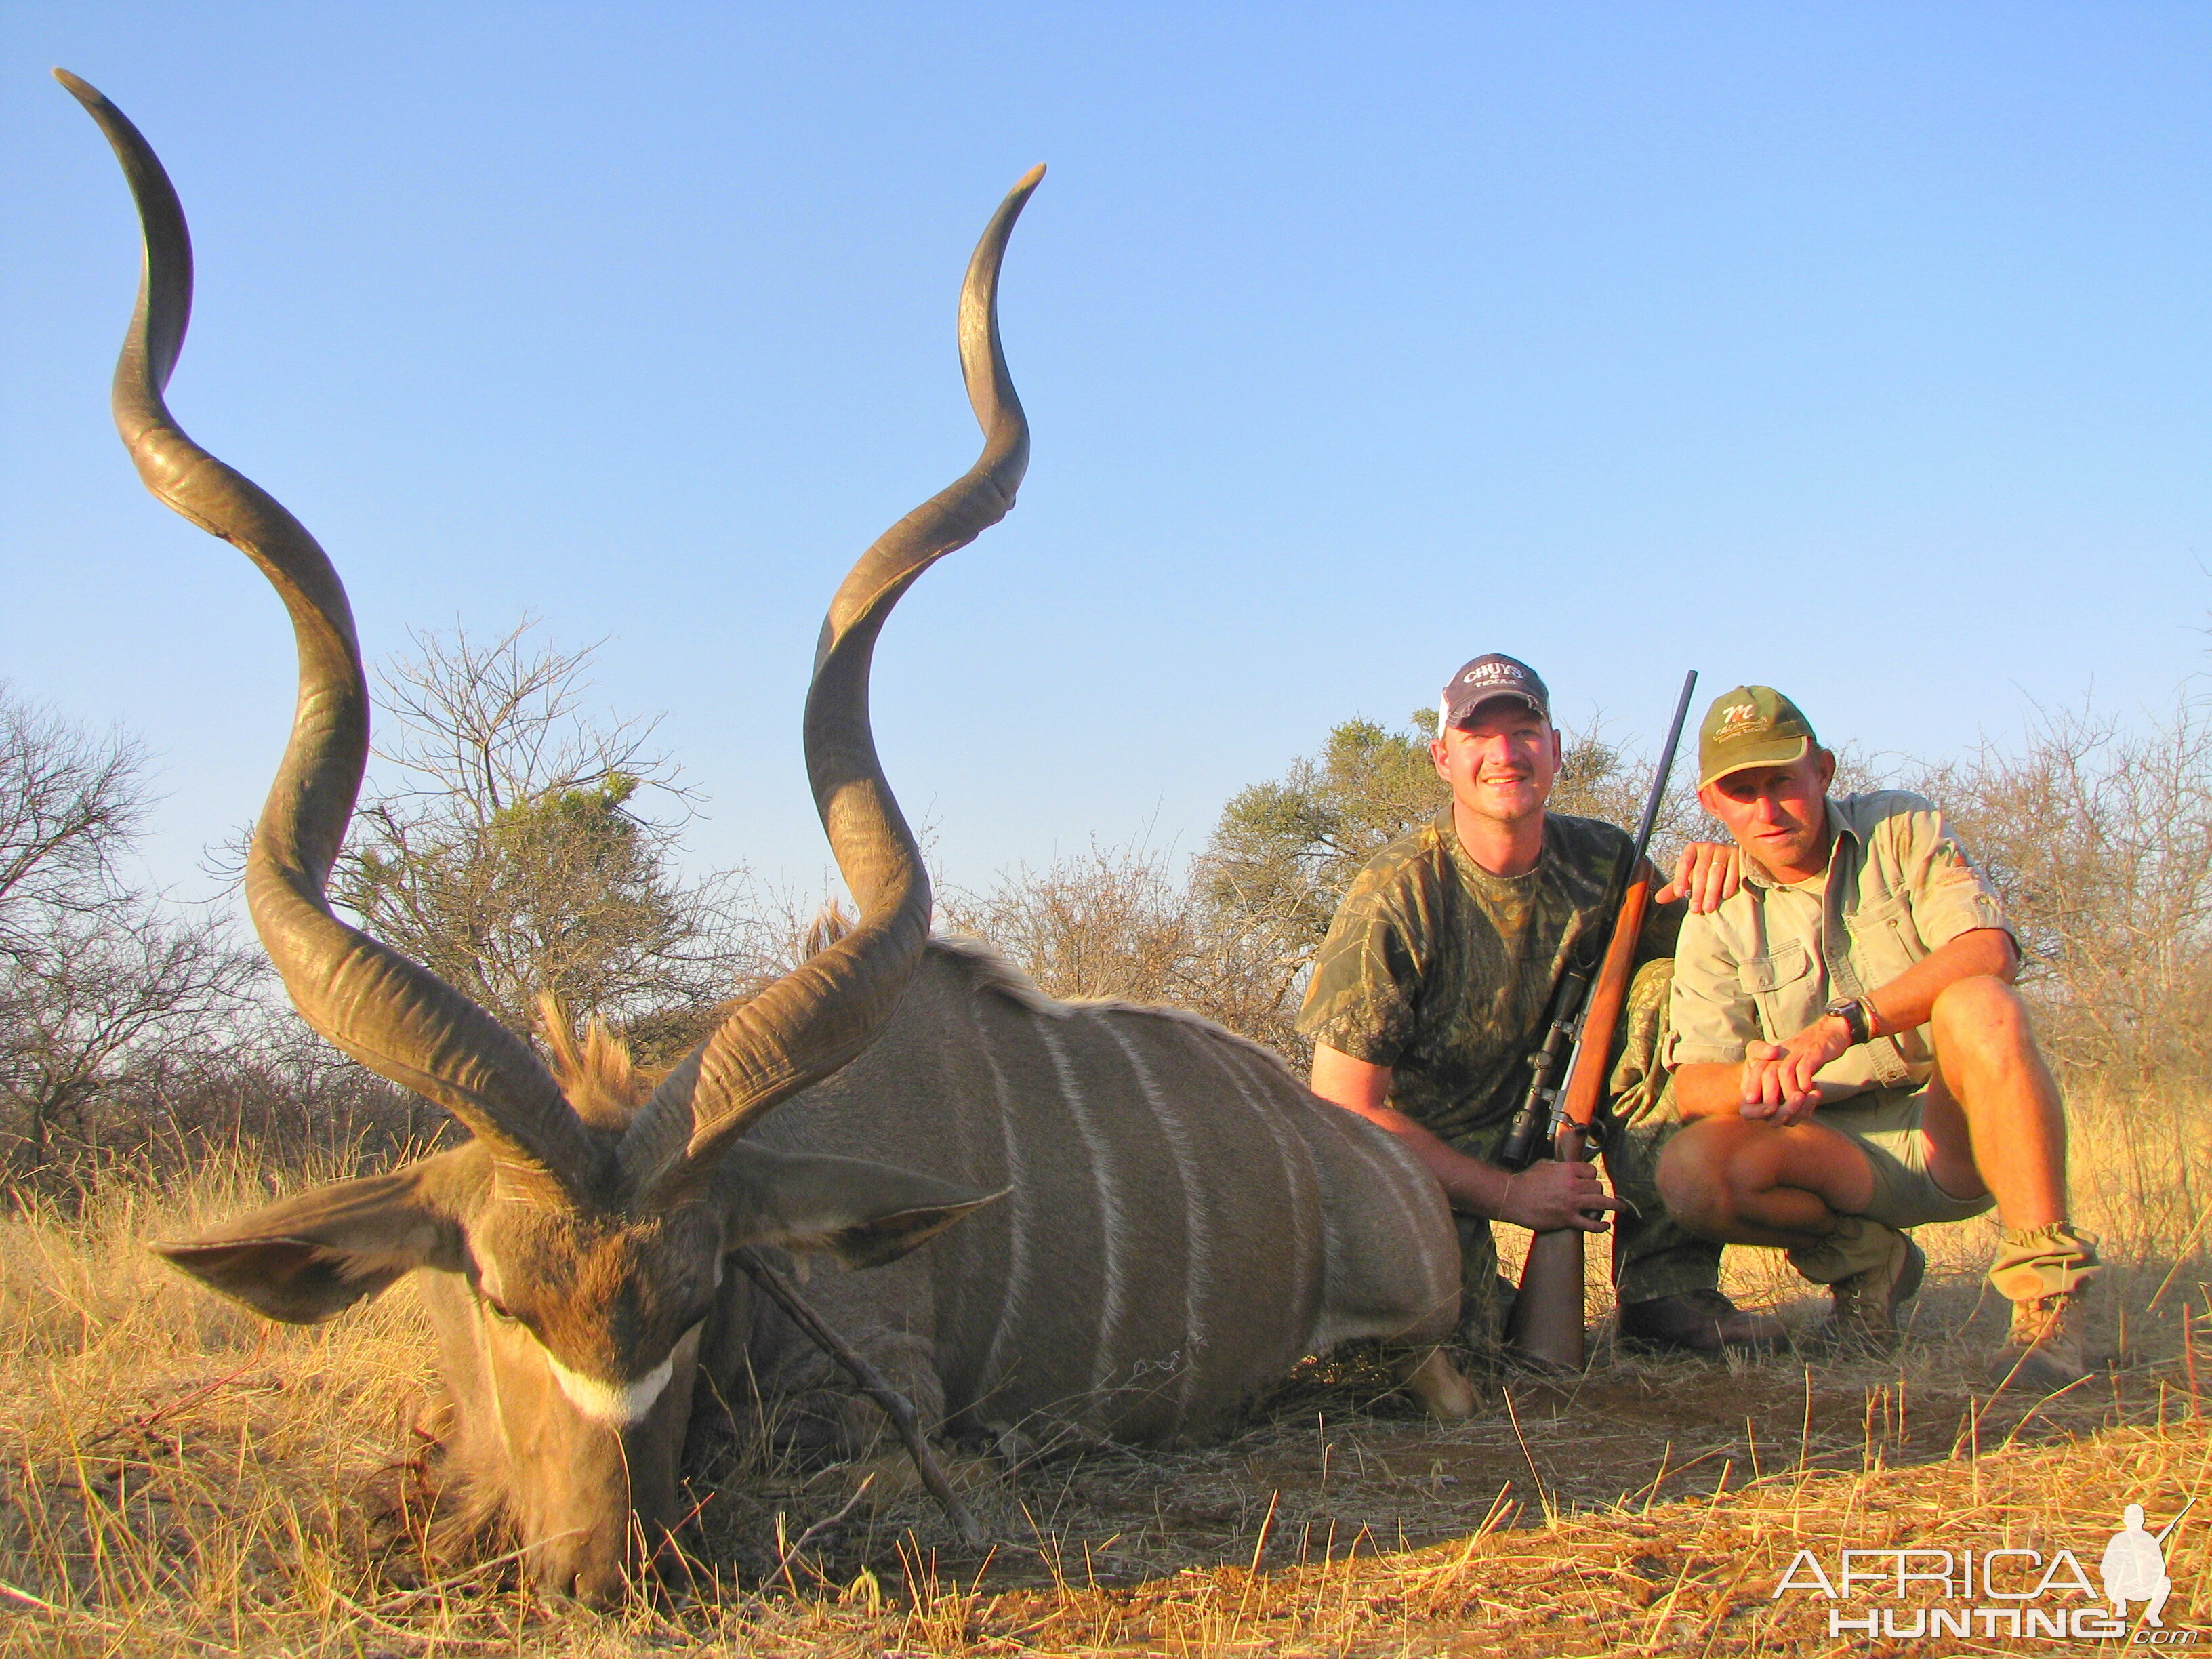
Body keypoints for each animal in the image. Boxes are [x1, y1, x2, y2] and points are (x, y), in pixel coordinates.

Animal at [60, 78, 1469, 1610]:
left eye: (698, 1295)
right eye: (502, 1297)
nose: (597, 1564)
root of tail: (1379, 1164)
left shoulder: (879, 1390)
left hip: (1417, 1322)